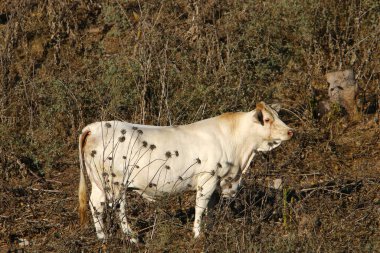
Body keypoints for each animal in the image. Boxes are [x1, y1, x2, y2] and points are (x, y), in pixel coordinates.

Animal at [78, 101, 294, 241]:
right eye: (267, 119)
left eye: (278, 116)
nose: (290, 131)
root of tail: (94, 126)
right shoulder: (208, 179)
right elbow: (200, 207)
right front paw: (198, 235)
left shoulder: (218, 182)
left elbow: (211, 208)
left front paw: (209, 228)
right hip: (115, 182)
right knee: (117, 207)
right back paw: (130, 237)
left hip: (99, 182)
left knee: (95, 205)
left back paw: (103, 237)